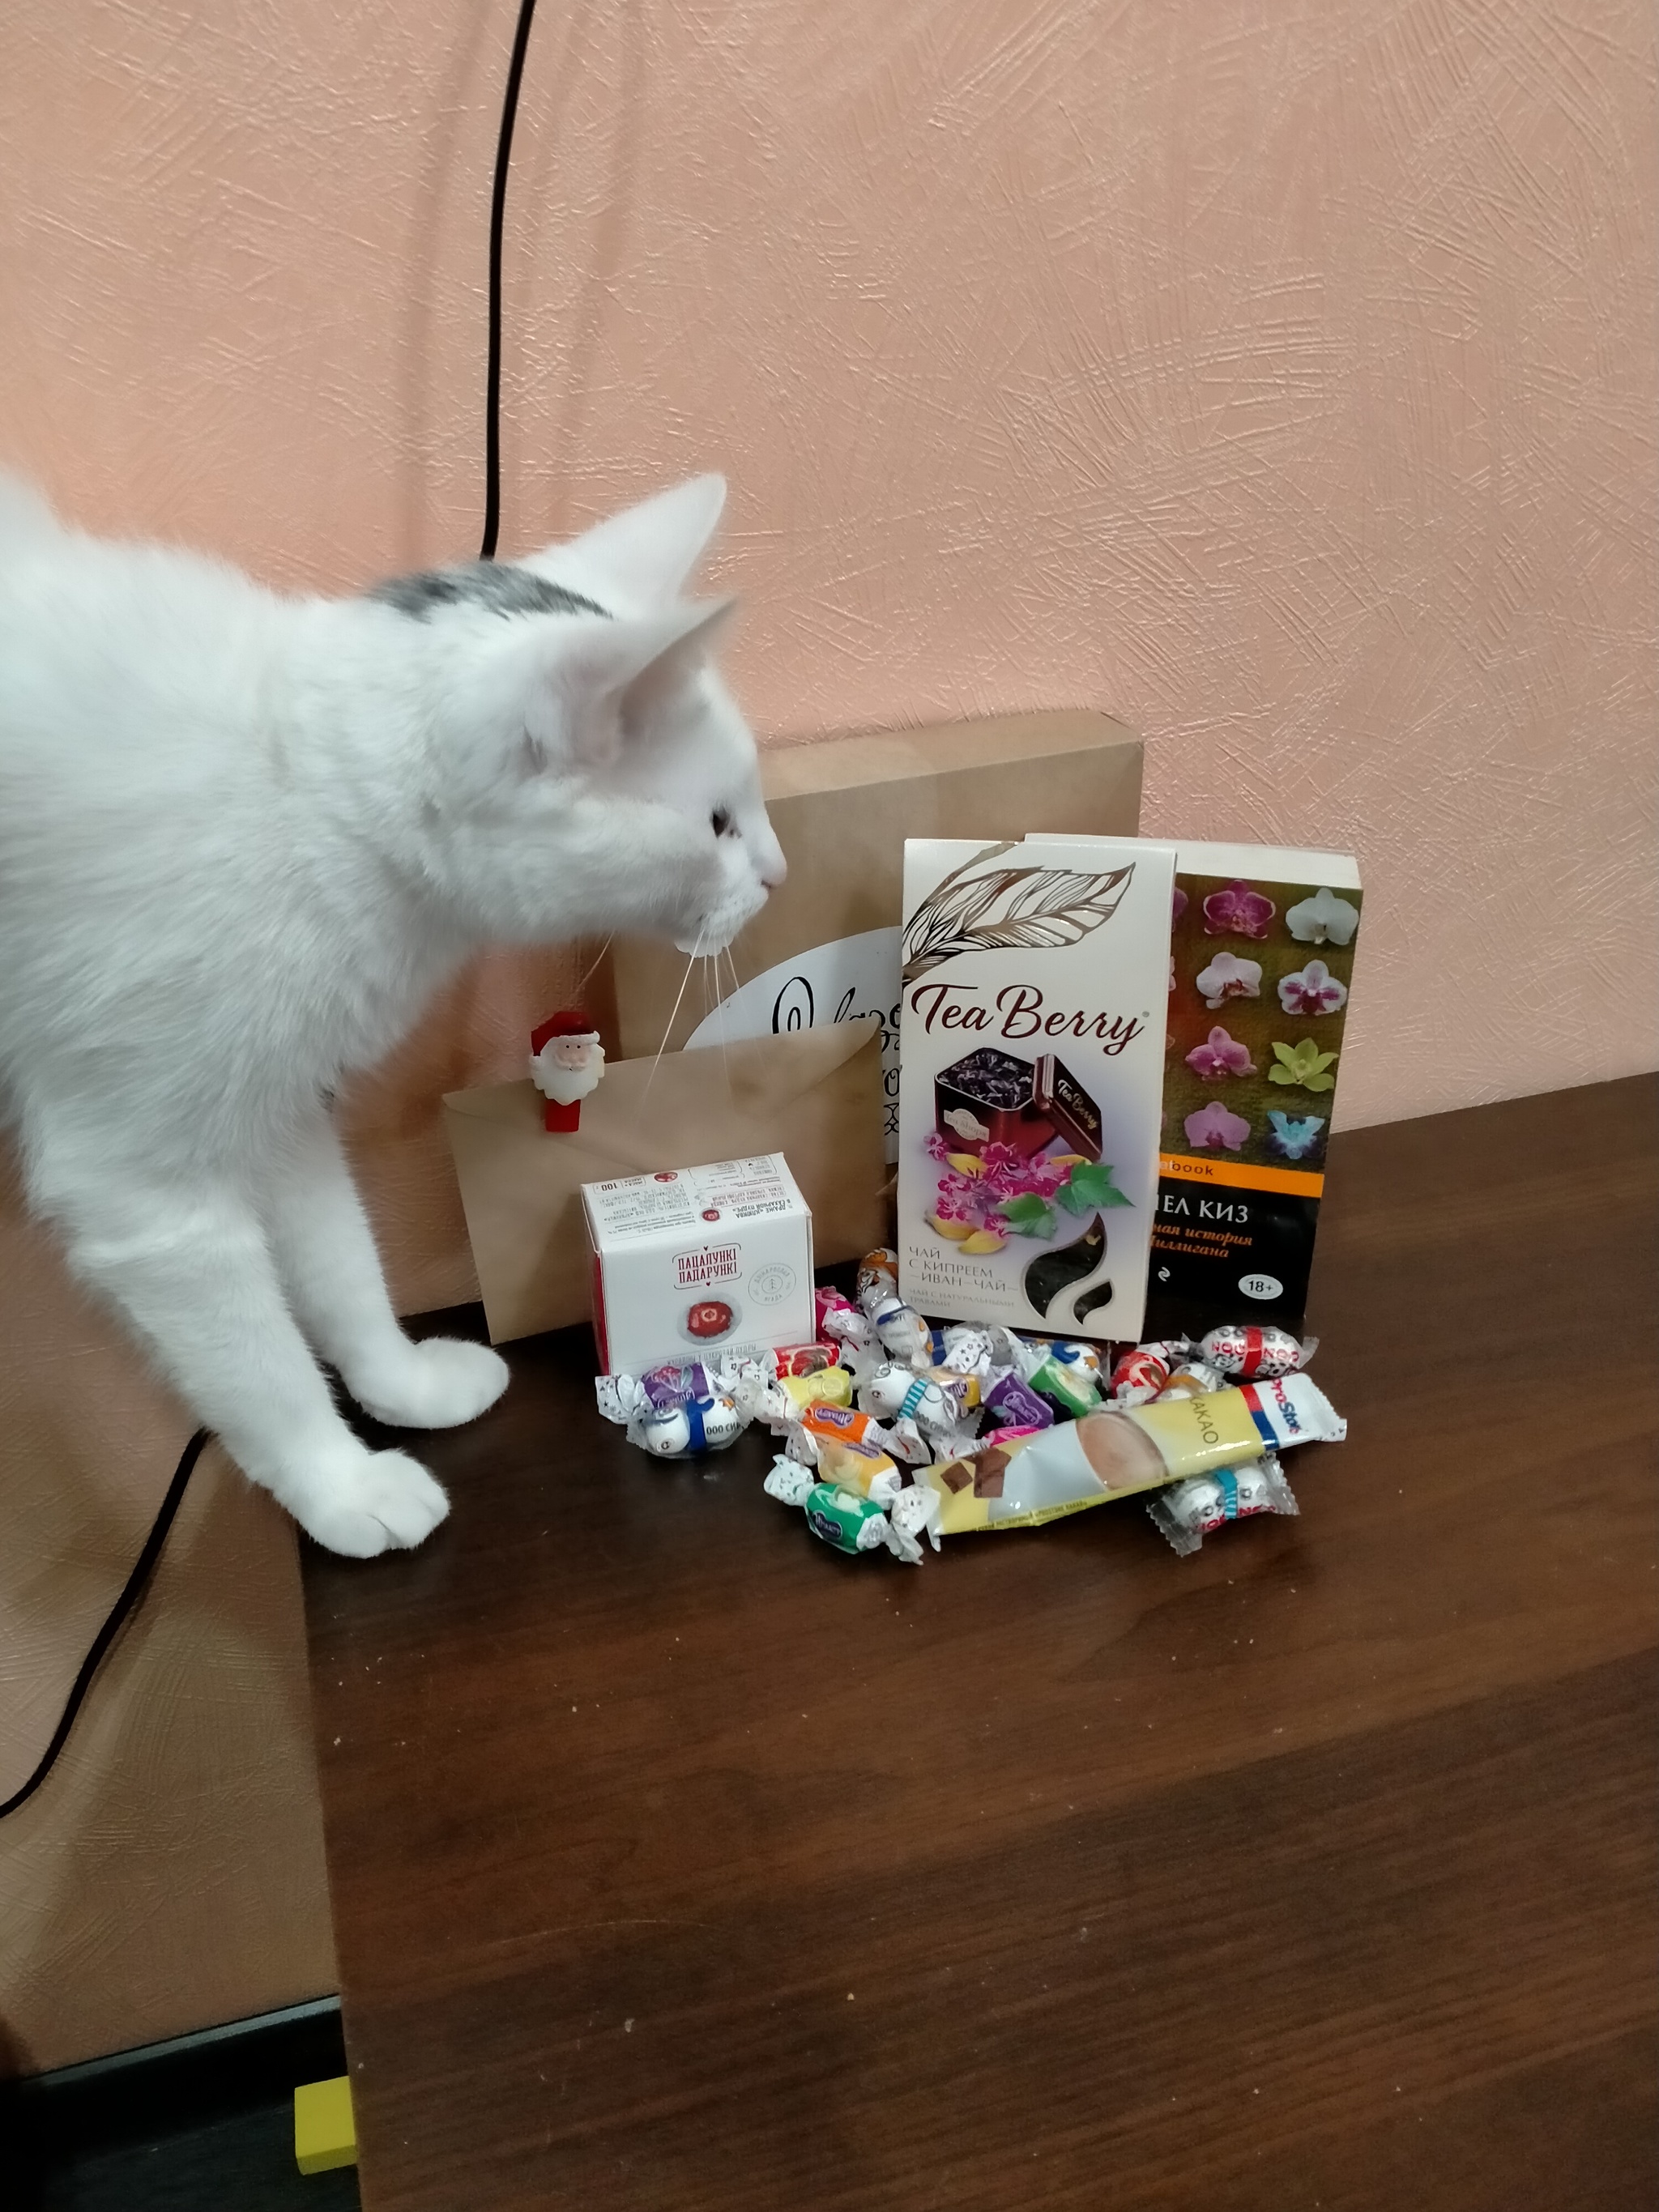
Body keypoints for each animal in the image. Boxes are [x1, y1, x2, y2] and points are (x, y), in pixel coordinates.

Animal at [0, 473, 785, 1556]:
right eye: (715, 824)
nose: (777, 873)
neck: (309, 804)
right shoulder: (144, 1190)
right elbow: (260, 1361)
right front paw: (340, 1484)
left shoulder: (281, 1102)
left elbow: (341, 1266)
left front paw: (399, 1385)